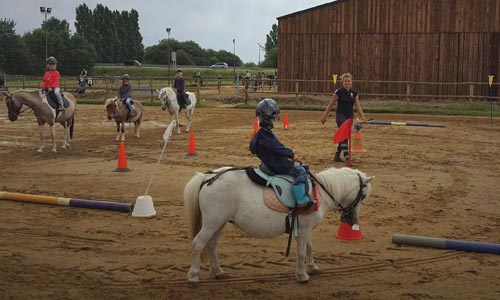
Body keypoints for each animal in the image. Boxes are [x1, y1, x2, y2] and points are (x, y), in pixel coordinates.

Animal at [186, 166, 374, 284]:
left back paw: (218, 272)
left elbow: (309, 248)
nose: (352, 220)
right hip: (211, 223)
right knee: (198, 244)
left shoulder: (307, 229)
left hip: (219, 223)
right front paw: (302, 275)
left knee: (211, 245)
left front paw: (313, 267)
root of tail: (208, 177)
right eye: (363, 196)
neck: (319, 192)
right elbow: (301, 252)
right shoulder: (303, 229)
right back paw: (194, 276)